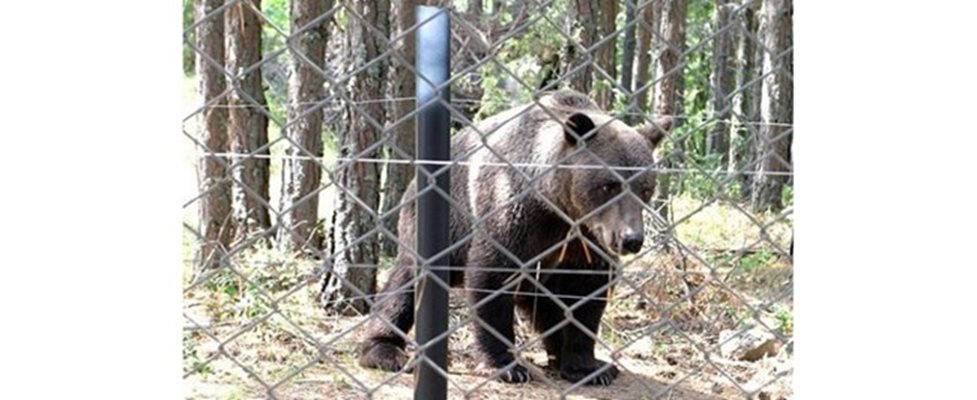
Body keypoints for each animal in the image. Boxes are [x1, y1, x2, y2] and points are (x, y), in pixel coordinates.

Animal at [358, 90, 672, 384]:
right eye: (609, 185)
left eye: (645, 188)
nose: (631, 239)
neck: (557, 207)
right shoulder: (514, 213)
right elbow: (492, 277)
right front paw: (506, 366)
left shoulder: (584, 239)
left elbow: (585, 292)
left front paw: (590, 367)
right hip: (437, 223)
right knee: (406, 285)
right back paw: (385, 350)